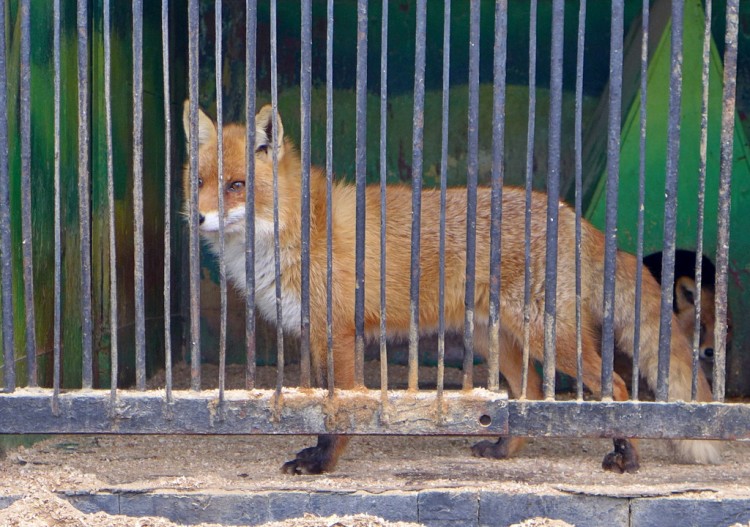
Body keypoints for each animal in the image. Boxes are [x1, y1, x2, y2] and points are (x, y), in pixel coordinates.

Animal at [182, 102, 724, 474]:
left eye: (236, 185)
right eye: (200, 183)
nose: (198, 219)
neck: (297, 229)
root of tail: (572, 215)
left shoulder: (339, 334)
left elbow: (338, 411)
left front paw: (323, 464)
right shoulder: (311, 335)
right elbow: (318, 407)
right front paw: (315, 454)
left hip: (548, 337)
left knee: (613, 384)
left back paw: (626, 456)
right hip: (494, 339)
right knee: (529, 391)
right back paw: (504, 451)